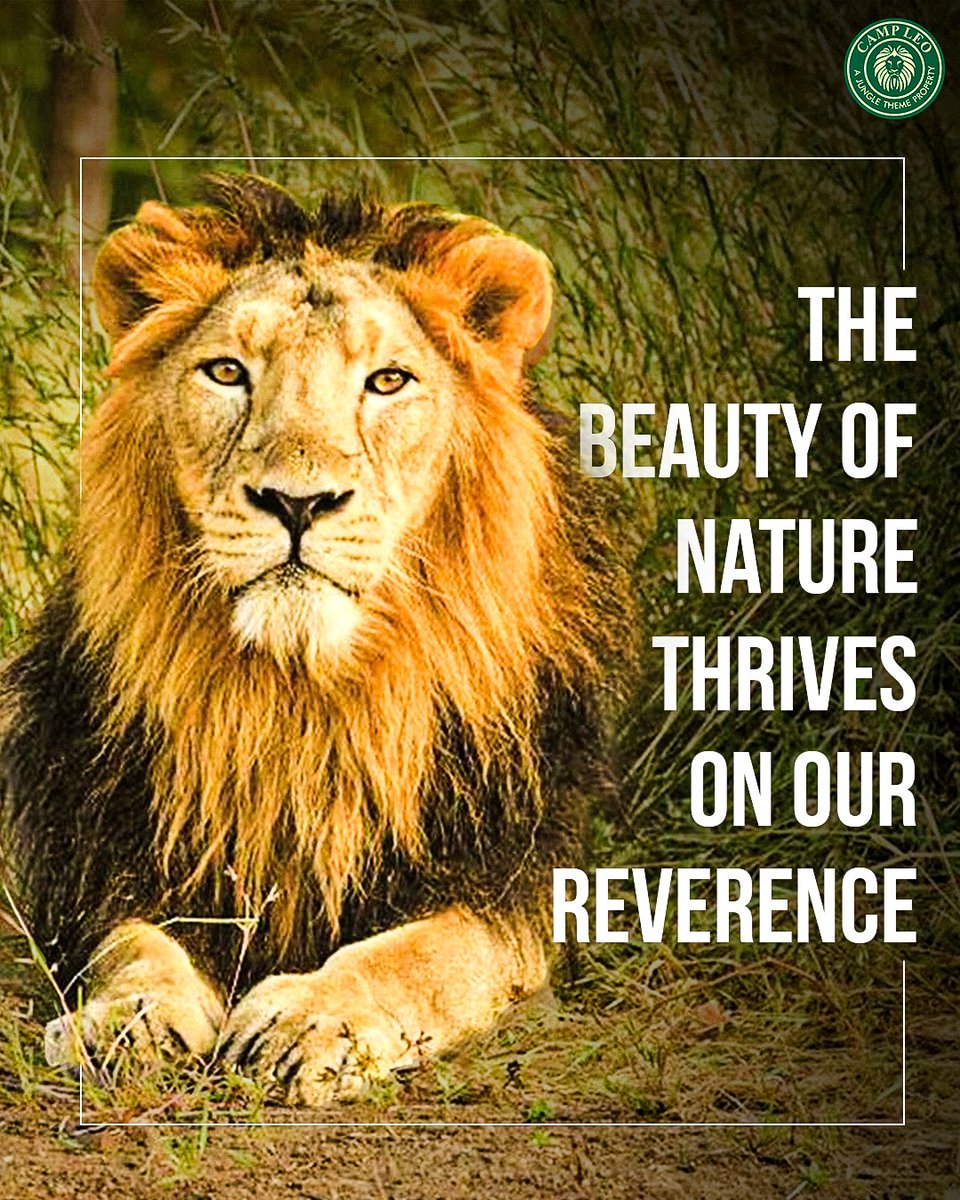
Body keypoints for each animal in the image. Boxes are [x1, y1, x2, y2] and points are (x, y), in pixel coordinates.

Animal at [0, 174, 614, 1105]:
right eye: (227, 372)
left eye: (388, 381)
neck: (301, 694)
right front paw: (129, 1019)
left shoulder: (515, 880)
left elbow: (425, 954)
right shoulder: (105, 850)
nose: (297, 502)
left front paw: (313, 1019)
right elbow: (133, 943)